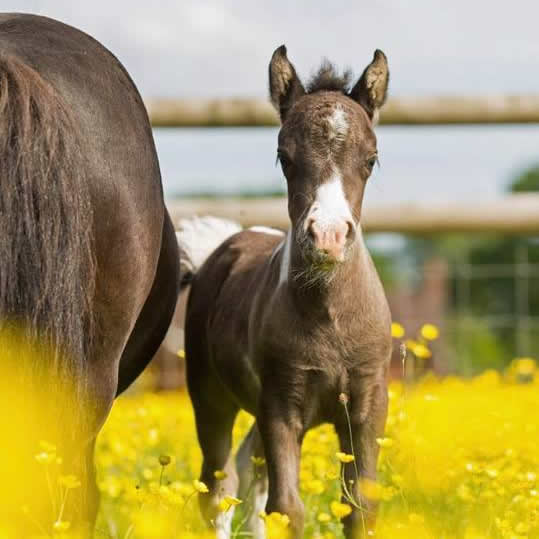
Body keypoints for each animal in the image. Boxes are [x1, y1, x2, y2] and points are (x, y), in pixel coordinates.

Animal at [181, 47, 392, 539]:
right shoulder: (281, 401)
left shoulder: (368, 403)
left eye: (372, 158)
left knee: (249, 470)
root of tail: (222, 245)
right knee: (218, 484)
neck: (330, 316)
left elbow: (358, 507)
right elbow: (287, 508)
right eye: (284, 156)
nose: (329, 237)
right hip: (210, 395)